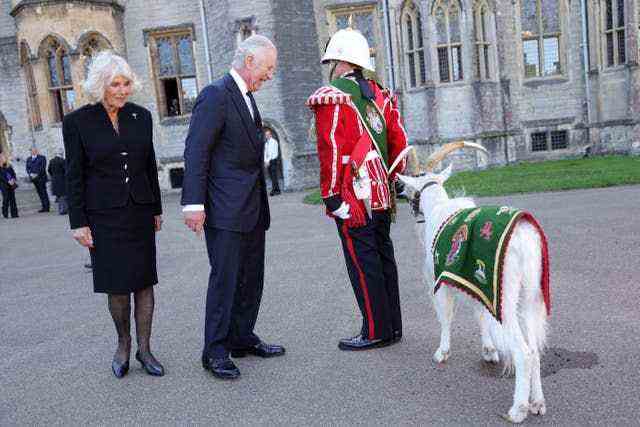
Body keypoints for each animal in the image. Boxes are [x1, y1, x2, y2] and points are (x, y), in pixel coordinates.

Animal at [396, 141, 552, 424]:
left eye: (411, 185)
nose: (399, 192)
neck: (438, 208)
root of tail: (524, 240)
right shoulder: (476, 280)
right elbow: (480, 314)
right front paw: (489, 350)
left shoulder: (442, 280)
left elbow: (445, 317)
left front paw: (442, 352)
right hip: (531, 292)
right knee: (534, 347)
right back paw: (537, 403)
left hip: (506, 296)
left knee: (524, 352)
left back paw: (518, 409)